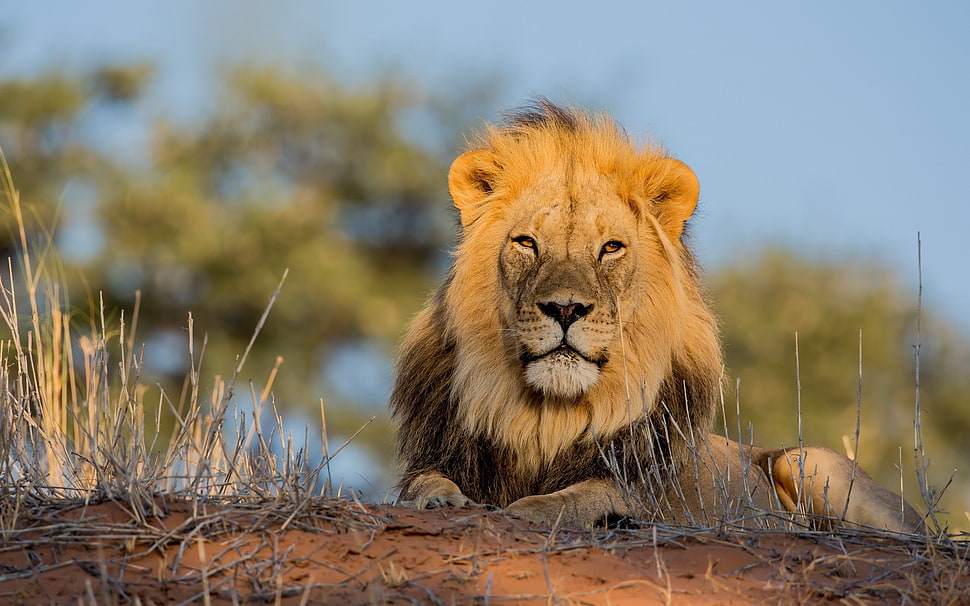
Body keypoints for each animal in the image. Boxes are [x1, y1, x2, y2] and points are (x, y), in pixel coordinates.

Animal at [390, 100, 922, 533]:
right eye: (526, 243)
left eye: (610, 248)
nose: (565, 308)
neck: (547, 419)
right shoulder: (435, 456)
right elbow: (421, 484)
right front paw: (443, 500)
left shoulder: (648, 491)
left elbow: (577, 497)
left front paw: (527, 508)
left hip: (808, 462)